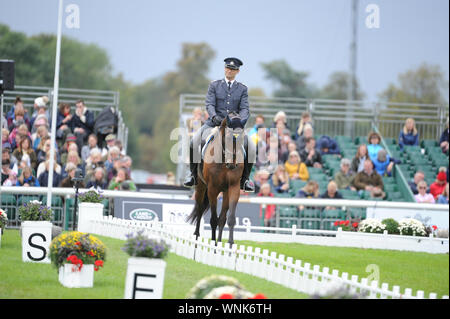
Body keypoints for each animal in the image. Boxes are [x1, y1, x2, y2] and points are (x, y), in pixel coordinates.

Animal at [185, 113, 244, 248]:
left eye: (242, 138)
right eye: (228, 137)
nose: (232, 164)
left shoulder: (234, 188)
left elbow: (230, 219)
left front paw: (230, 245)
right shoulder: (212, 189)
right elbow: (213, 220)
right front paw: (213, 245)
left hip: (225, 192)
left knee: (222, 218)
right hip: (201, 187)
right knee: (200, 210)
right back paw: (196, 238)